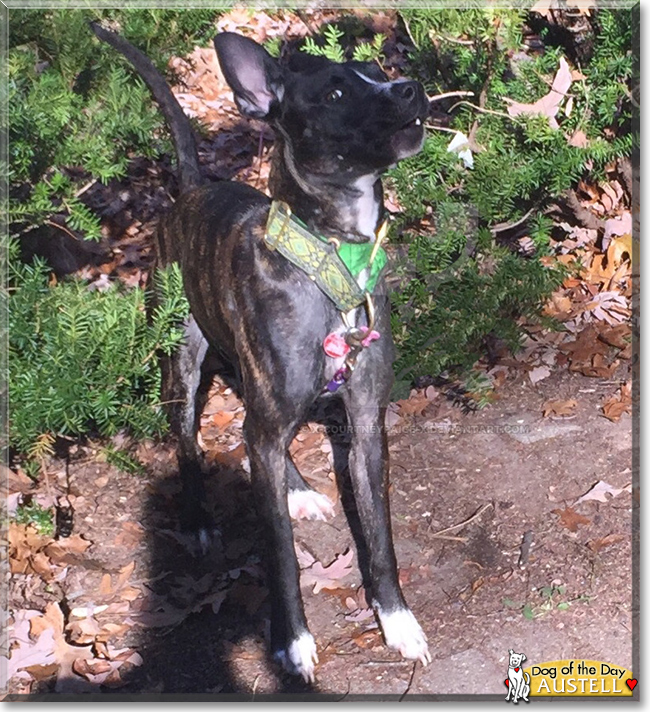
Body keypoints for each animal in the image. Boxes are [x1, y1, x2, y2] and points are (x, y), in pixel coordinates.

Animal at [87, 20, 430, 680]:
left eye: (376, 70)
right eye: (335, 93)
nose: (410, 86)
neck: (332, 255)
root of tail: (192, 189)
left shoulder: (366, 425)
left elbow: (379, 537)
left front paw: (397, 619)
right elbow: (280, 556)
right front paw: (292, 642)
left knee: (256, 430)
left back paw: (294, 487)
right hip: (180, 367)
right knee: (191, 443)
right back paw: (198, 521)